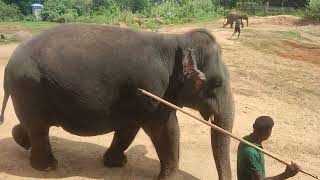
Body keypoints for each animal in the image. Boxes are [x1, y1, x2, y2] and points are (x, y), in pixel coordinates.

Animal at [0, 24, 235, 180]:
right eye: (216, 83)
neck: (176, 42)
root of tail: (9, 63)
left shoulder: (138, 96)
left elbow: (129, 128)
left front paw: (116, 164)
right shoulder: (152, 90)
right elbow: (166, 130)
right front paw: (168, 179)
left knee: (33, 125)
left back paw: (23, 141)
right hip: (29, 87)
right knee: (39, 128)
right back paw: (47, 167)